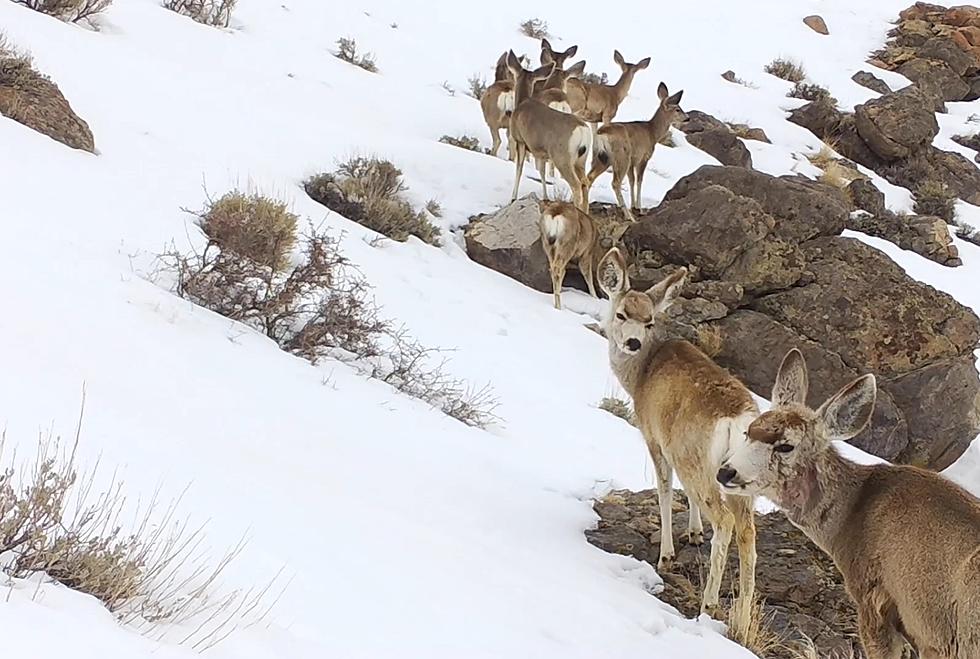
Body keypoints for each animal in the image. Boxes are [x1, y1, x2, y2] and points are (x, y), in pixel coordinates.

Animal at [510, 51, 592, 209]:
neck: (522, 102)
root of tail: (582, 130)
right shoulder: (541, 151)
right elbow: (542, 172)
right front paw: (545, 197)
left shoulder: (520, 141)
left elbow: (519, 168)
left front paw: (513, 198)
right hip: (581, 159)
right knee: (585, 183)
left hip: (562, 157)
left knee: (576, 185)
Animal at [584, 82, 684, 222]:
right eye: (678, 109)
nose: (687, 118)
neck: (652, 133)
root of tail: (601, 134)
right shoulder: (643, 157)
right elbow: (639, 180)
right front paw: (639, 208)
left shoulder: (632, 161)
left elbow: (631, 180)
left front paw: (634, 206)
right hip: (621, 156)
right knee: (615, 183)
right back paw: (629, 217)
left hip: (602, 157)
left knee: (589, 177)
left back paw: (585, 209)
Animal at [596, 246, 756, 640]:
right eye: (622, 314)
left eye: (650, 320)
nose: (633, 342)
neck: (640, 376)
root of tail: (737, 421)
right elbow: (686, 496)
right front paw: (694, 533)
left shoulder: (654, 437)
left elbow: (665, 490)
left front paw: (667, 553)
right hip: (741, 478)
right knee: (748, 532)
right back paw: (743, 617)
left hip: (701, 462)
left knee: (726, 521)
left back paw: (709, 603)